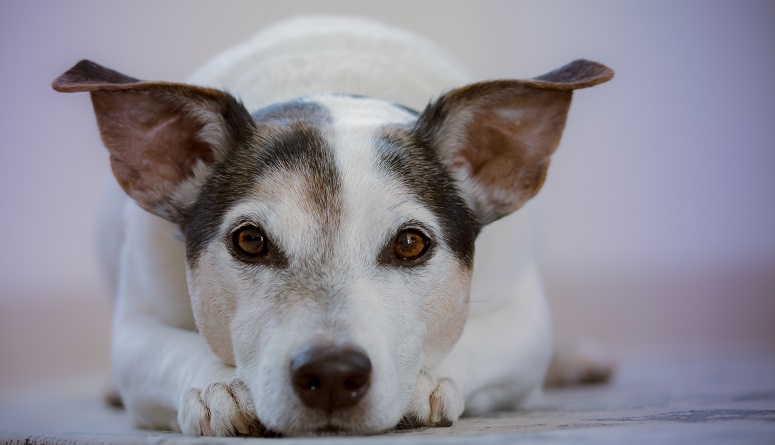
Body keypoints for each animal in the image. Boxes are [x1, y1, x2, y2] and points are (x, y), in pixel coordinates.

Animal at [51, 15, 616, 436]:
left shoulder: (524, 320)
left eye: (410, 243)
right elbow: (168, 349)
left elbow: (478, 338)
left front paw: (424, 381)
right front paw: (219, 386)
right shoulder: (135, 327)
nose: (331, 373)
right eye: (249, 240)